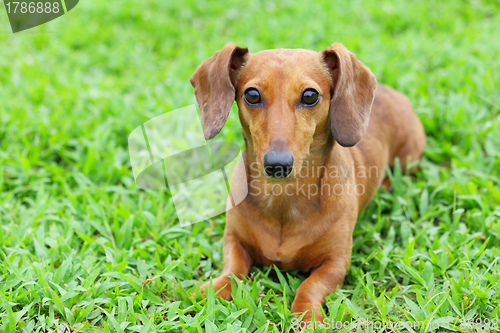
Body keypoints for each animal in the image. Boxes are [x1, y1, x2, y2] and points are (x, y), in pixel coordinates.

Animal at [189, 41, 424, 322]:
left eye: (310, 96)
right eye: (252, 95)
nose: (277, 164)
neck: (283, 198)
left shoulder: (336, 262)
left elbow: (310, 285)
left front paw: (305, 315)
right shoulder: (233, 239)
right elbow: (233, 270)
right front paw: (213, 289)